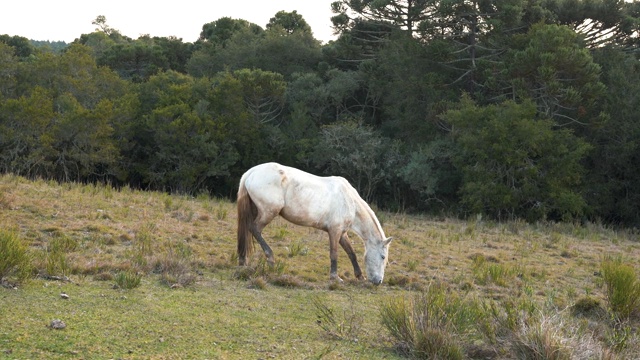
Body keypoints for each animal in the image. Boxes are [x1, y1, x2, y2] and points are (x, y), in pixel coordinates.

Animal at [238, 162, 392, 284]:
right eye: (383, 256)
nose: (378, 281)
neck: (350, 202)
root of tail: (251, 172)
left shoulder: (342, 233)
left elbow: (351, 253)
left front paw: (359, 276)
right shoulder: (334, 231)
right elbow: (334, 253)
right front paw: (335, 277)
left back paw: (243, 261)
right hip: (268, 212)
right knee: (254, 229)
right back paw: (270, 259)